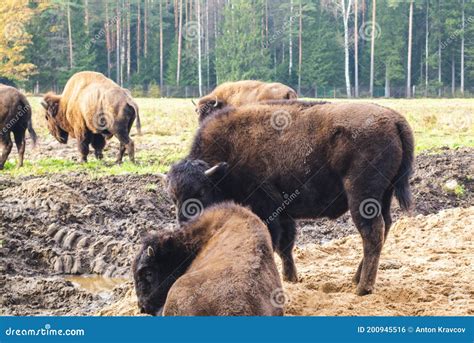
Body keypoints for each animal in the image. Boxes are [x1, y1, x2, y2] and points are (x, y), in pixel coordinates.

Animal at [165, 99, 412, 296]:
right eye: (173, 197)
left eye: (201, 192)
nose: (185, 223)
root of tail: (395, 119)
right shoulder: (284, 213)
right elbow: (286, 245)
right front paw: (291, 278)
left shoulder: (266, 208)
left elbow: (273, 242)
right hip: (383, 197)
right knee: (385, 227)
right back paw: (356, 279)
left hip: (361, 197)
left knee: (371, 233)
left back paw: (363, 288)